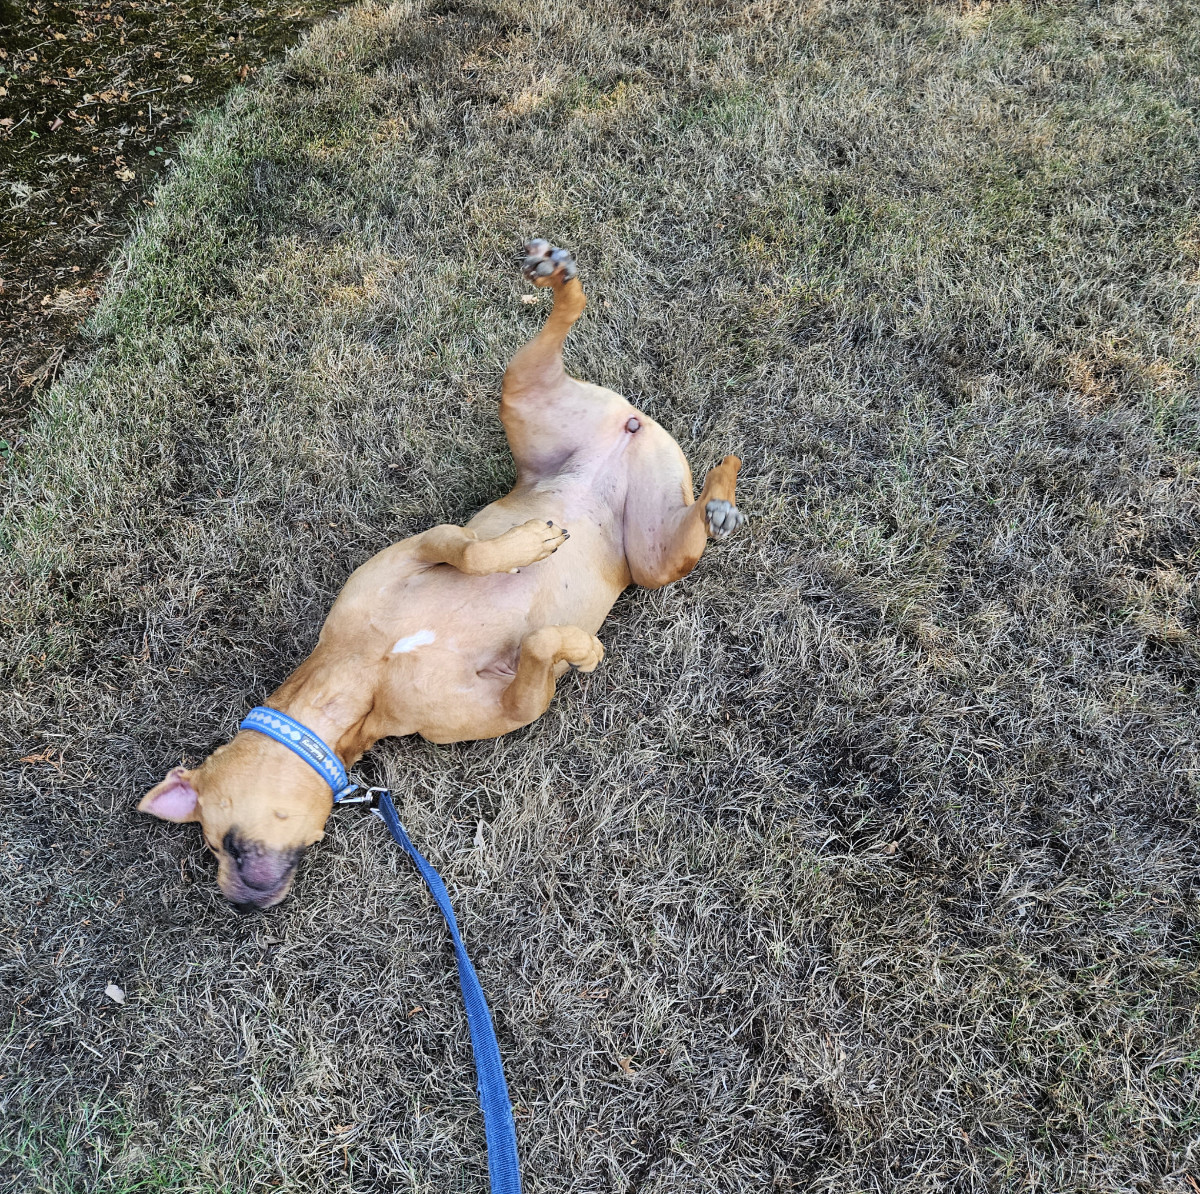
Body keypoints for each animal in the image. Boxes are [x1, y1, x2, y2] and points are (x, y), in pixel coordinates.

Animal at [138, 244, 739, 916]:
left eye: (216, 841)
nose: (239, 903)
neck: (363, 675)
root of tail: (629, 427)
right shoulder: (512, 702)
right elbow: (537, 645)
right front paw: (577, 646)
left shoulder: (422, 547)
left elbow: (469, 553)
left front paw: (532, 553)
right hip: (597, 480)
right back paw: (715, 491)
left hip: (625, 530)